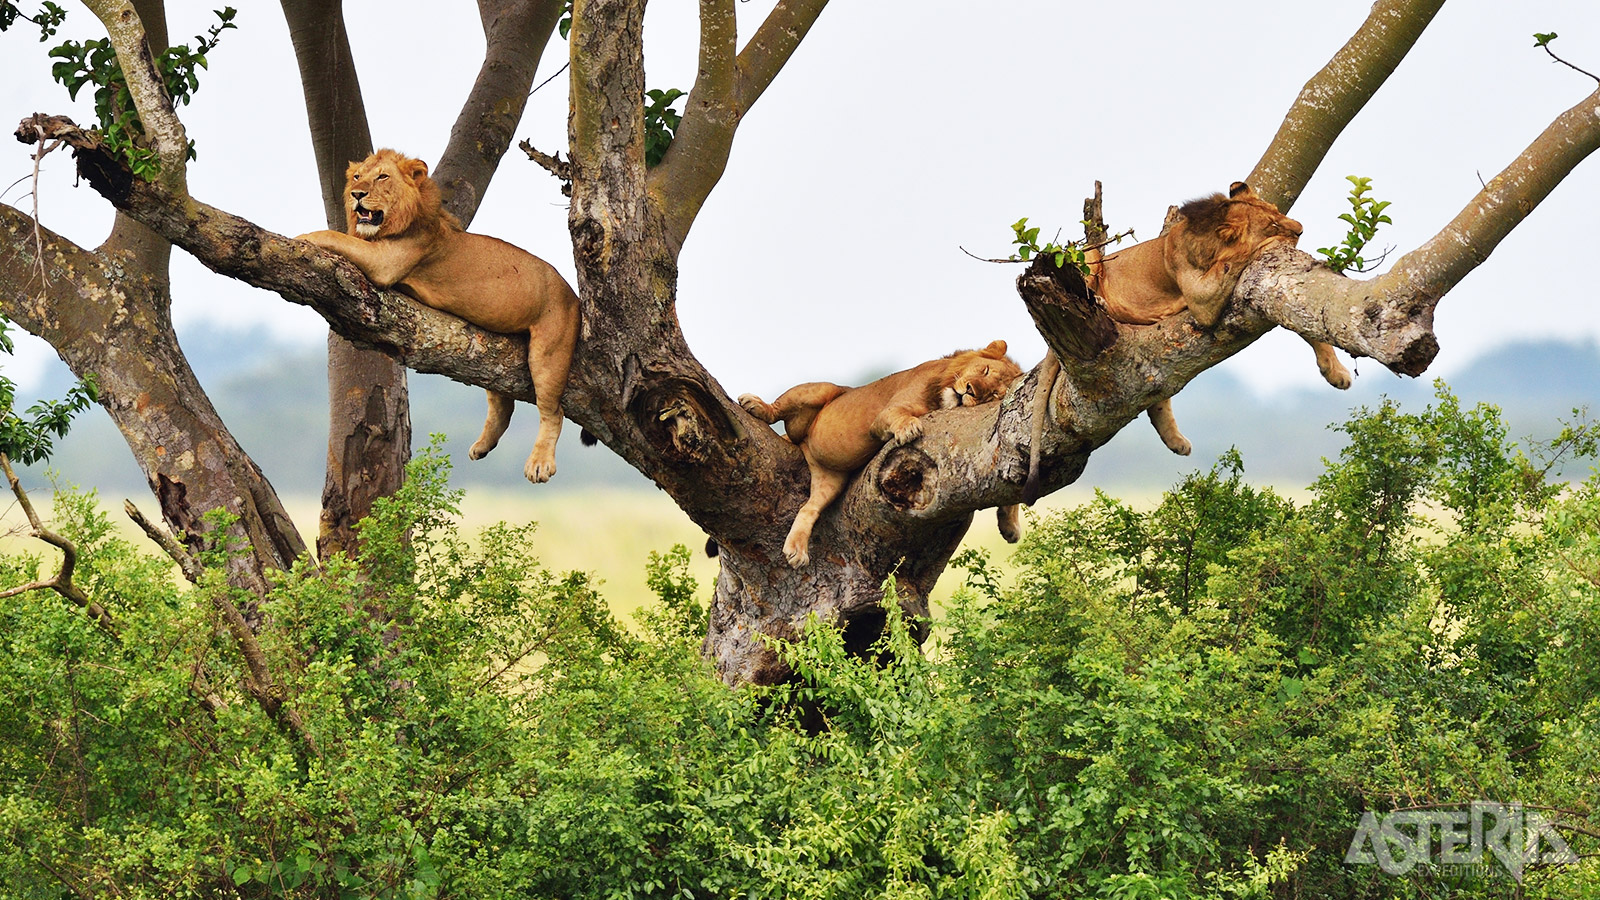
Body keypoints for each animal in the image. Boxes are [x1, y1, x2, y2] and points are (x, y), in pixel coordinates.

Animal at [296, 148, 582, 483]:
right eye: (356, 177)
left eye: (382, 177)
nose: (357, 194)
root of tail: (573, 295)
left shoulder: (385, 262)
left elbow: (338, 237)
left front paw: (303, 236)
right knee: (502, 403)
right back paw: (482, 446)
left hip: (549, 351)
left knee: (552, 410)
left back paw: (539, 463)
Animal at [739, 339, 1024, 563]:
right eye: (985, 370)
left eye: (994, 393)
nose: (970, 391)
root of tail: (804, 443)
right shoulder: (886, 413)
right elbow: (898, 415)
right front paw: (908, 427)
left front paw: (1010, 524)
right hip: (820, 390)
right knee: (780, 406)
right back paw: (756, 405)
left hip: (830, 479)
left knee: (809, 508)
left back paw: (797, 551)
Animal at [1024, 182, 1350, 506]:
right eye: (1271, 224)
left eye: (1277, 211)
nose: (1300, 229)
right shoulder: (1200, 300)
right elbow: (1233, 261)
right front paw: (1266, 245)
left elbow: (1306, 326)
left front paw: (1336, 373)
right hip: (1085, 262)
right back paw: (1101, 302)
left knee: (1156, 397)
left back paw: (1177, 442)